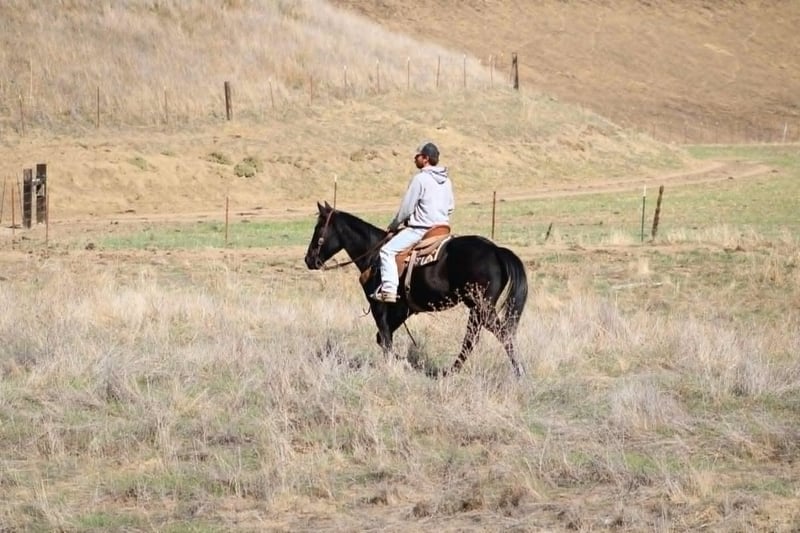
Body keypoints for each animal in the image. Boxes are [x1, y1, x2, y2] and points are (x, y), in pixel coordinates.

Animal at [304, 201, 529, 377]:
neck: (373, 254)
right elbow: (382, 338)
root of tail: (496, 250)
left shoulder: (379, 305)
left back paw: (515, 372)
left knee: (497, 336)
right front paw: (403, 363)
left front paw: (394, 366)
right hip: (478, 309)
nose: (308, 259)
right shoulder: (403, 309)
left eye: (318, 228)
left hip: (481, 307)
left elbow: (384, 338)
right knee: (476, 338)